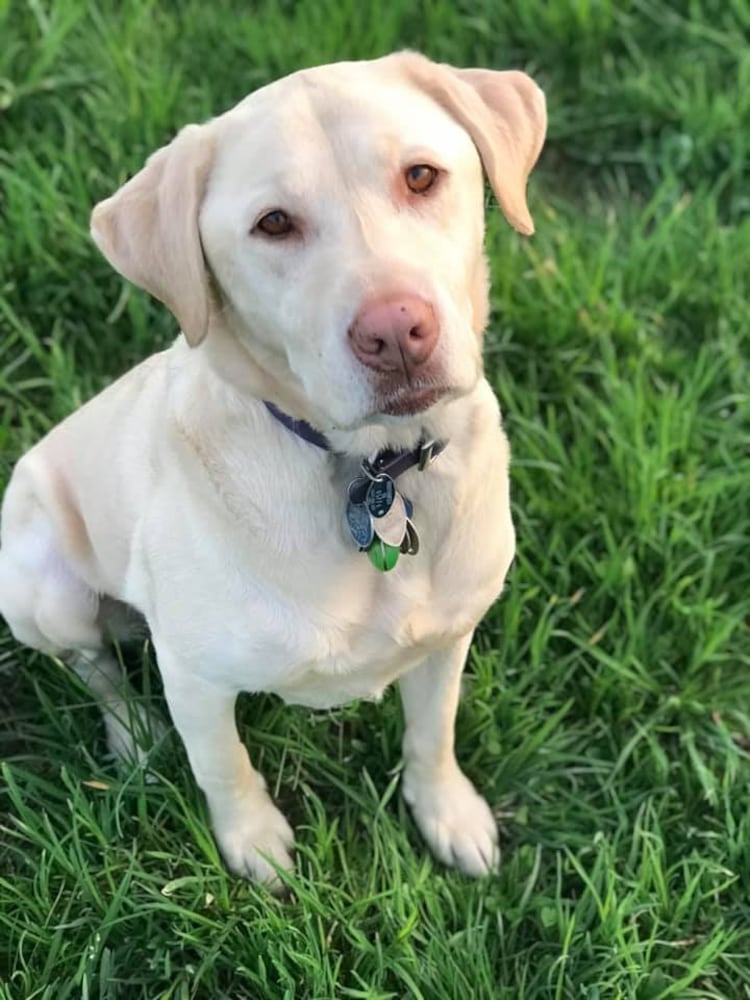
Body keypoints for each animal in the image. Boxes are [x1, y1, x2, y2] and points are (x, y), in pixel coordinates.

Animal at [0, 50, 548, 888]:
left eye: (421, 176)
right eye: (274, 224)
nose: (397, 332)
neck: (374, 467)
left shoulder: (447, 638)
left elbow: (433, 735)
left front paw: (448, 816)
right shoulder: (194, 679)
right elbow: (222, 765)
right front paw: (254, 845)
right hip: (40, 588)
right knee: (92, 666)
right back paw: (133, 735)